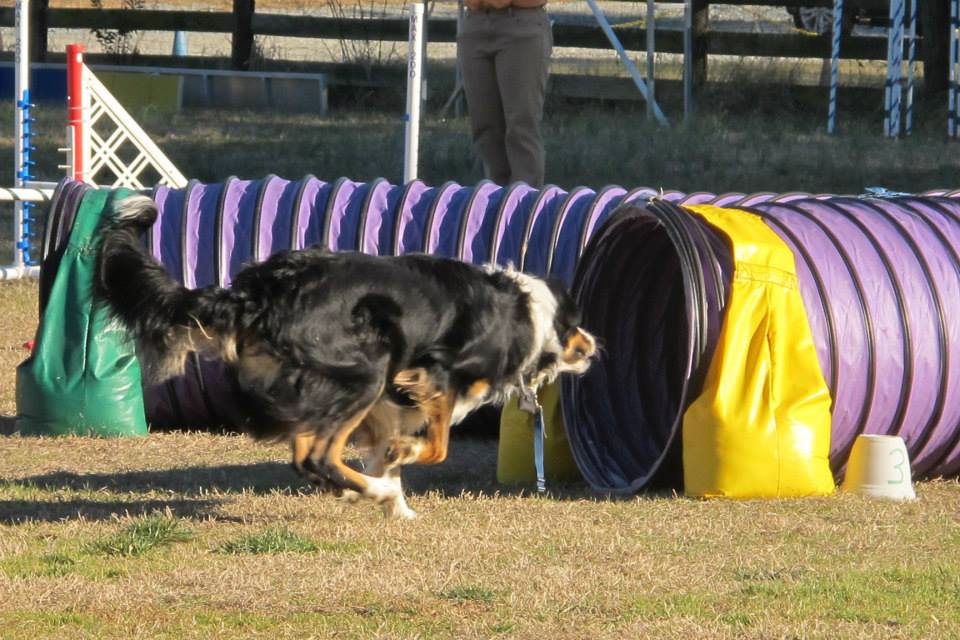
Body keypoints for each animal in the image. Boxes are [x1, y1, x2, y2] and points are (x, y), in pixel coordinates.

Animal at [95, 194, 592, 516]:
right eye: (575, 325)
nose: (593, 347)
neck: (528, 314)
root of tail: (262, 293)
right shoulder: (435, 375)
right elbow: (435, 447)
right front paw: (398, 464)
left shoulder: (391, 402)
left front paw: (396, 498)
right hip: (363, 371)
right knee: (315, 455)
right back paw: (368, 490)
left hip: (333, 384)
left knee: (305, 450)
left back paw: (363, 491)